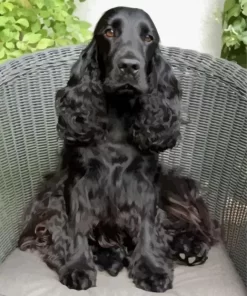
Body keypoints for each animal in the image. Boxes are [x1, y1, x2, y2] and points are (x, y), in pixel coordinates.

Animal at [17, 6, 219, 294]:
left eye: (148, 37)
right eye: (110, 32)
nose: (129, 66)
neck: (118, 115)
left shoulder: (143, 183)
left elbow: (147, 224)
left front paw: (151, 267)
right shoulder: (78, 182)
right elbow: (76, 225)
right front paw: (77, 266)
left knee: (198, 225)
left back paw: (190, 248)